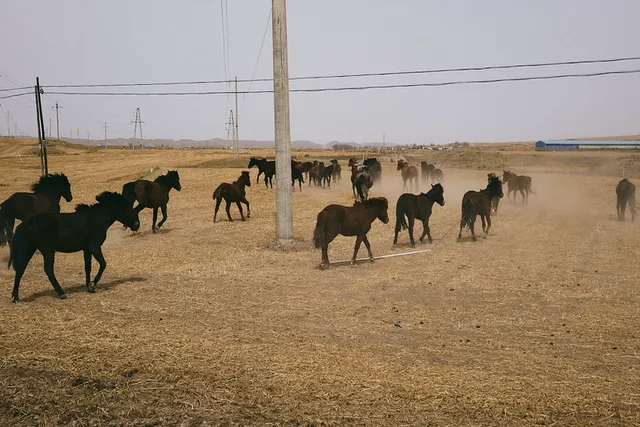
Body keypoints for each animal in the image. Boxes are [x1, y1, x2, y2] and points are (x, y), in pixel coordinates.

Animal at [8, 191, 140, 303]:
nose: (137, 225)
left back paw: (16, 297)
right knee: (48, 269)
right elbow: (103, 264)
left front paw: (89, 286)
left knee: (20, 269)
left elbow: (88, 267)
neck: (97, 218)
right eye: (127, 207)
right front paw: (93, 284)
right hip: (47, 250)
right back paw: (61, 293)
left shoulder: (87, 249)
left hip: (30, 249)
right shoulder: (94, 246)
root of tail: (26, 223)